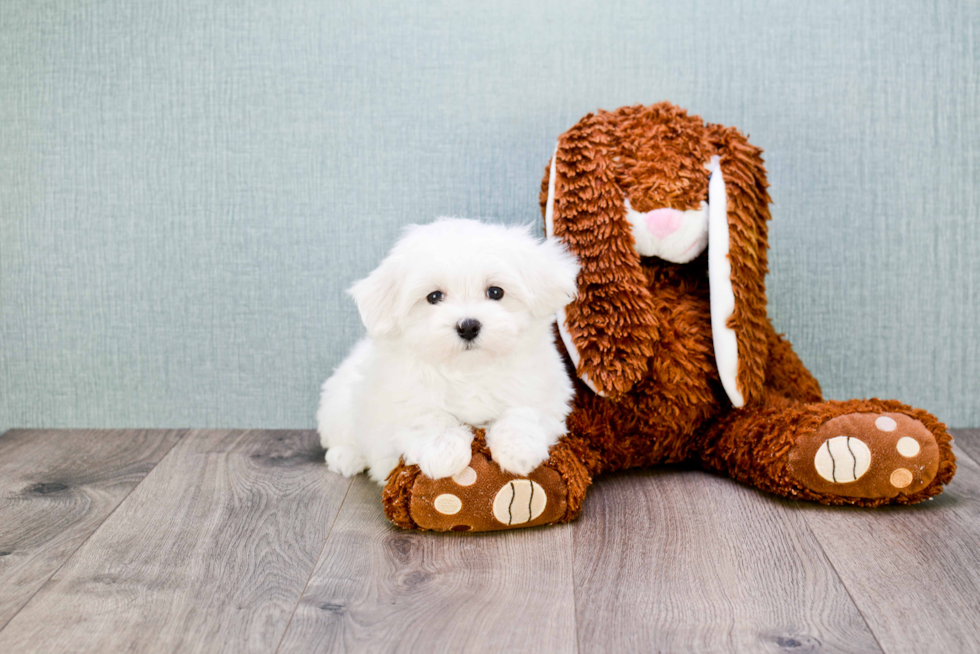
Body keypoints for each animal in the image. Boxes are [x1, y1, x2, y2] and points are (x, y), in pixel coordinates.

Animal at [320, 218, 580, 484]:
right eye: (434, 297)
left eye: (495, 292)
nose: (468, 326)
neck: (469, 370)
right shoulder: (404, 398)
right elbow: (427, 417)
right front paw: (442, 451)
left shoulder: (544, 390)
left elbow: (525, 410)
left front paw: (518, 448)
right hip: (338, 404)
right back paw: (346, 458)